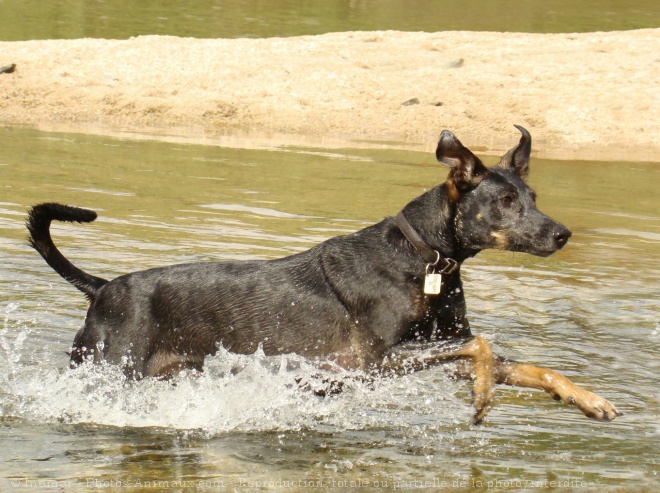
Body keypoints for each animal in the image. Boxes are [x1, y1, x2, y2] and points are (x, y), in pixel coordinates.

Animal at [27, 127, 624, 422]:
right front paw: (481, 401)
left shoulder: (435, 347)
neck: (425, 258)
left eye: (533, 196)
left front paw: (587, 399)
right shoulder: (375, 363)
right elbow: (483, 347)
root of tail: (103, 287)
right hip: (107, 372)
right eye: (504, 201)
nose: (562, 233)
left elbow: (524, 363)